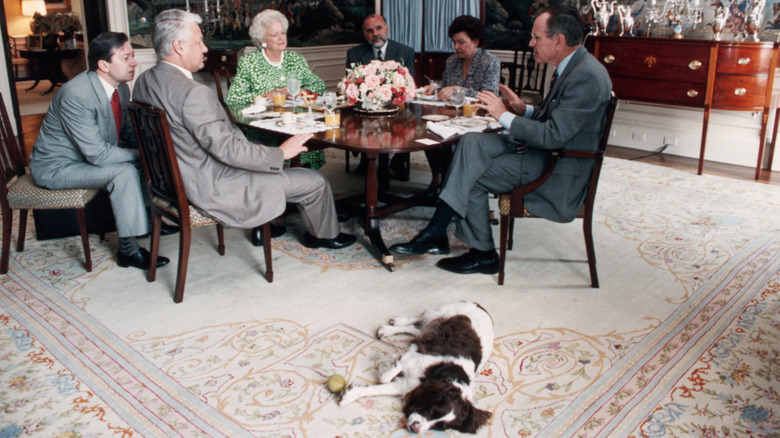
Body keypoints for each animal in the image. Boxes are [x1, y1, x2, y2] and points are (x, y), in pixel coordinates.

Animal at [336, 302, 494, 434]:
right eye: (433, 410)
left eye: (439, 427)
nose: (414, 429)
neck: (439, 377)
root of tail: (481, 307)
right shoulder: (414, 358)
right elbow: (385, 377)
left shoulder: (407, 386)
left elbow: (379, 389)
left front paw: (349, 395)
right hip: (440, 312)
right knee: (420, 318)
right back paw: (395, 323)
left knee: (418, 330)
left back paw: (389, 330)